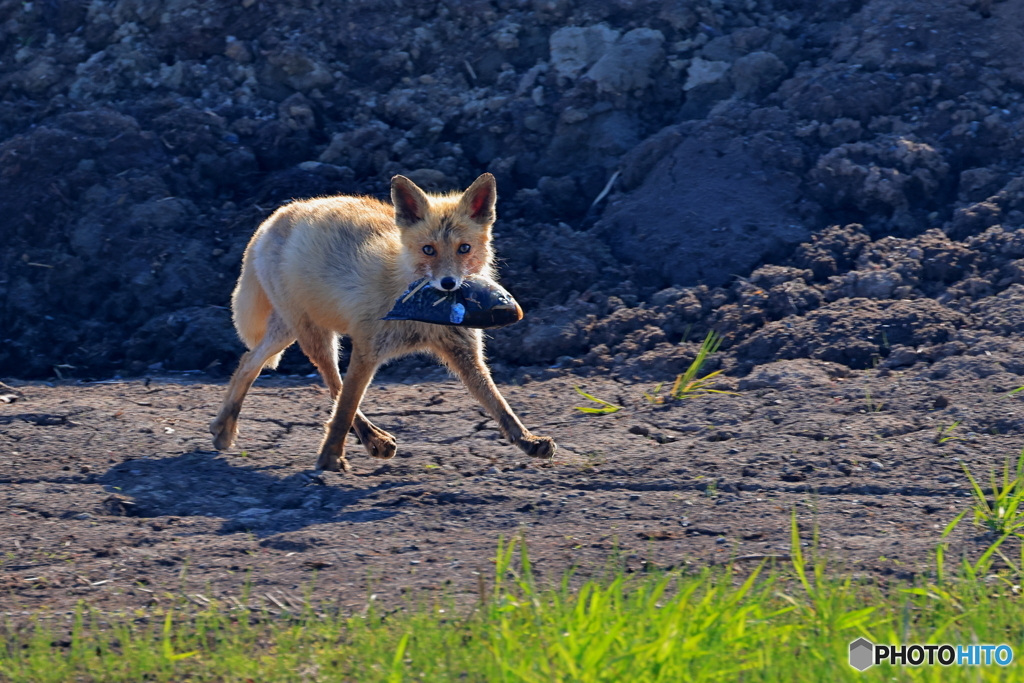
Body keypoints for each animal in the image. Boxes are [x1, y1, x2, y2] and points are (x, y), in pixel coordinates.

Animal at [209, 171, 561, 473]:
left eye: (464, 249)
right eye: (428, 250)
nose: (449, 283)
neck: (425, 316)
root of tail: (276, 216)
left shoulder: (463, 351)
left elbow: (498, 404)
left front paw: (528, 441)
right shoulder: (368, 348)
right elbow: (345, 407)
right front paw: (329, 458)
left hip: (288, 330)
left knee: (247, 361)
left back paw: (224, 427)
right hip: (313, 334)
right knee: (332, 382)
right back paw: (367, 439)